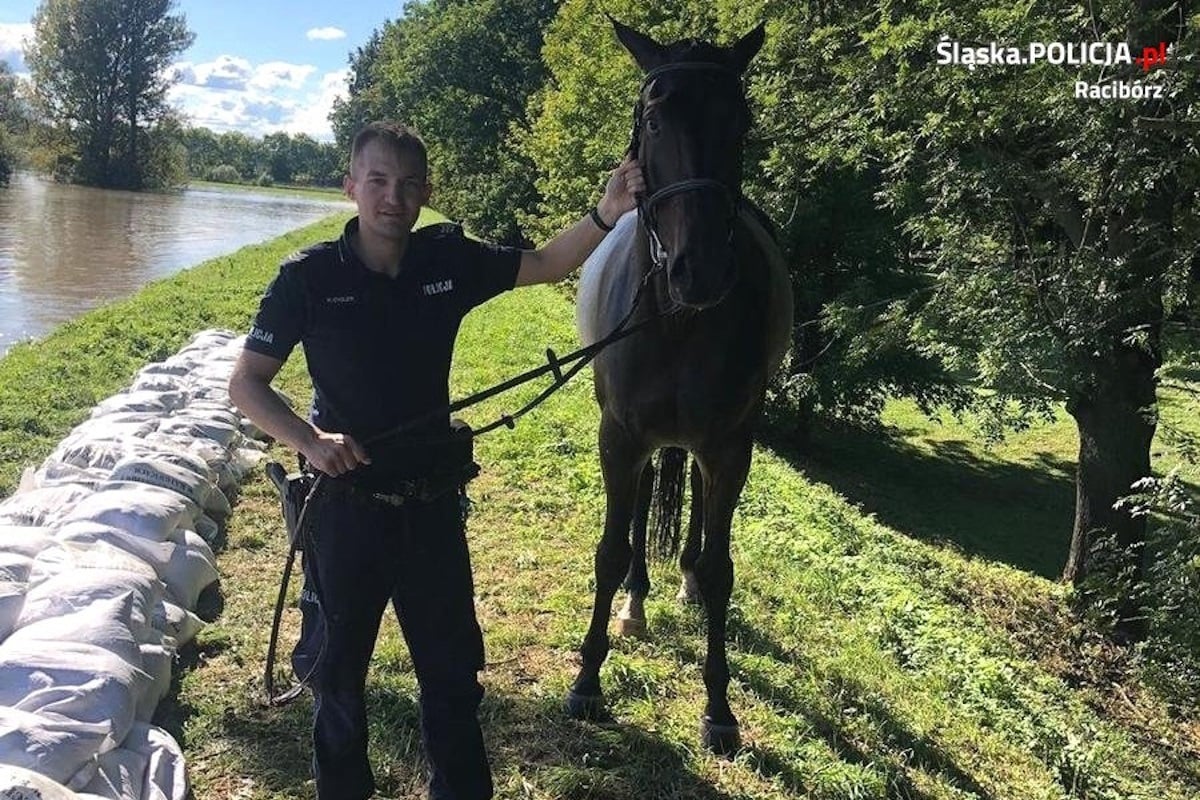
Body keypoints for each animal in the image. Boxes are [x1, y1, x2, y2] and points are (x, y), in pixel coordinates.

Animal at [568, 21, 792, 753]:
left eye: (740, 120)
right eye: (652, 117)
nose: (702, 270)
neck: (676, 320)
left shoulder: (730, 447)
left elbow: (723, 569)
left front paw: (719, 708)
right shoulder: (619, 438)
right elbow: (610, 551)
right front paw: (588, 680)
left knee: (690, 486)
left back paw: (684, 578)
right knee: (642, 505)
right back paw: (636, 601)